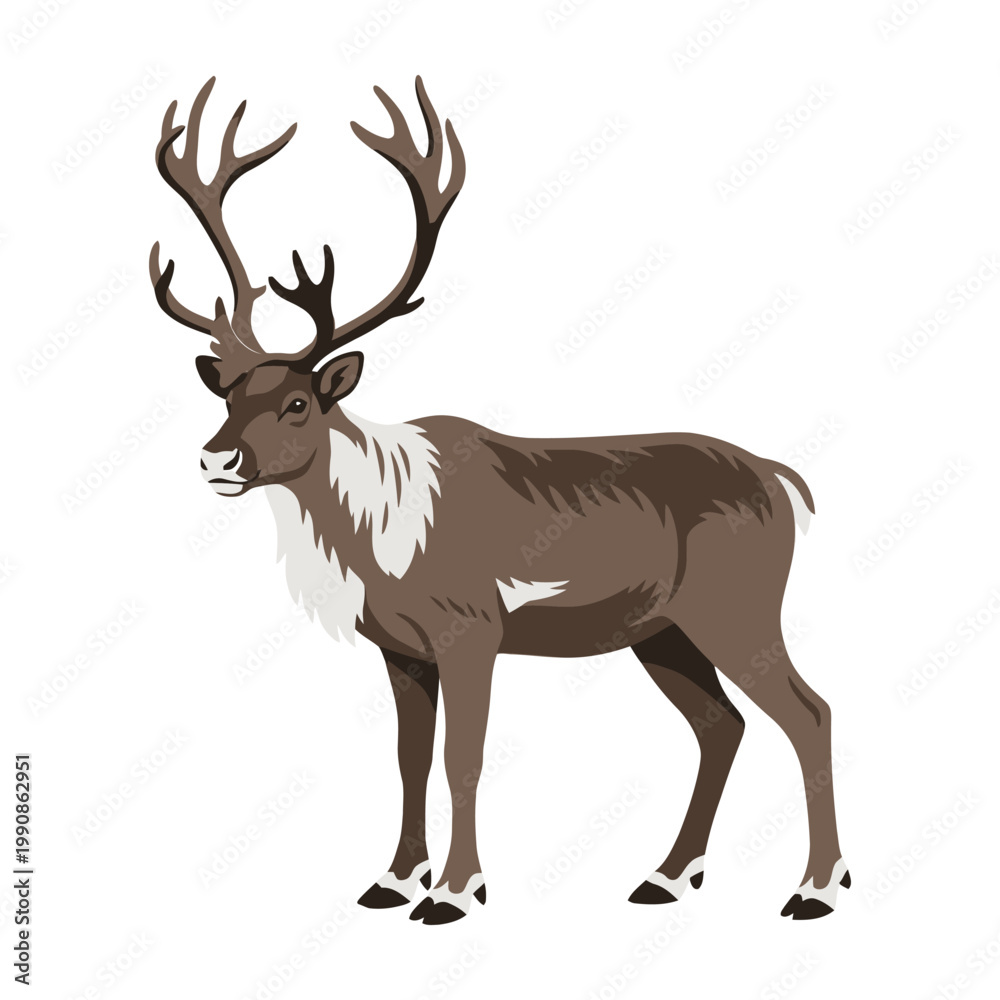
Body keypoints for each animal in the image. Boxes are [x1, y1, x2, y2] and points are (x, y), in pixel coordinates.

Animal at [150, 76, 848, 924]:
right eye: (229, 394)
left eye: (297, 403)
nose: (216, 458)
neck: (377, 537)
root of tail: (784, 480)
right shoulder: (400, 648)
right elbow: (409, 758)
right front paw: (393, 880)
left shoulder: (471, 630)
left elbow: (463, 758)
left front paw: (455, 890)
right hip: (663, 631)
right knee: (722, 725)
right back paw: (668, 876)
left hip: (735, 608)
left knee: (810, 713)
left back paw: (817, 887)